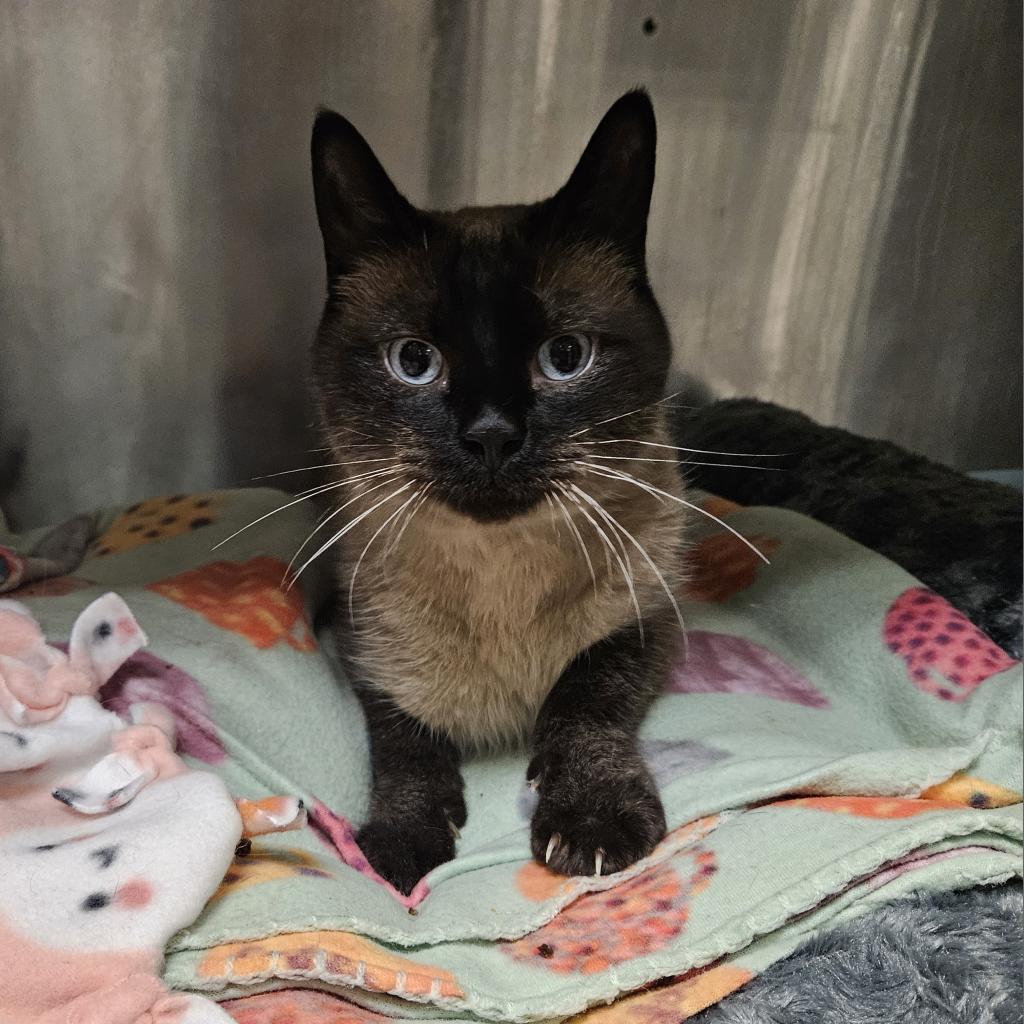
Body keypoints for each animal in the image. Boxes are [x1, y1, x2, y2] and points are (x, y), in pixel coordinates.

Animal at [307, 92, 684, 892]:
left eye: (565, 357)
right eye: (414, 361)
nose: (490, 436)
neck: (499, 580)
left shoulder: (644, 618)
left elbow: (583, 704)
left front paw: (593, 825)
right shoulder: (368, 649)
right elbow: (405, 745)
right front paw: (399, 848)